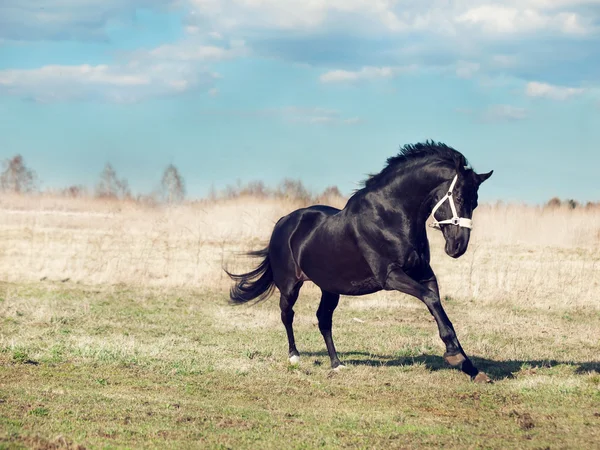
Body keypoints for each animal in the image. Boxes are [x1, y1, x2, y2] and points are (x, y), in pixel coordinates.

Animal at [225, 142, 492, 382]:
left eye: (476, 202)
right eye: (458, 196)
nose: (458, 246)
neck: (390, 216)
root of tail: (283, 222)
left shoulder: (424, 274)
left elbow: (438, 306)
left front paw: (471, 368)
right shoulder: (390, 276)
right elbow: (431, 299)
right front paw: (455, 355)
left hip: (329, 288)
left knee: (323, 319)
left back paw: (336, 364)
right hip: (290, 285)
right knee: (287, 314)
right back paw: (294, 357)